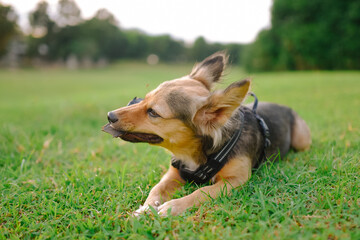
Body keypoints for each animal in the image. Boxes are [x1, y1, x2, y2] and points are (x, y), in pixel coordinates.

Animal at [102, 53, 310, 218]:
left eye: (153, 112)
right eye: (142, 100)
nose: (110, 116)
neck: (194, 153)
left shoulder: (235, 180)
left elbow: (202, 191)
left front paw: (172, 207)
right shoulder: (172, 174)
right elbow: (156, 189)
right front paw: (145, 209)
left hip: (302, 141)